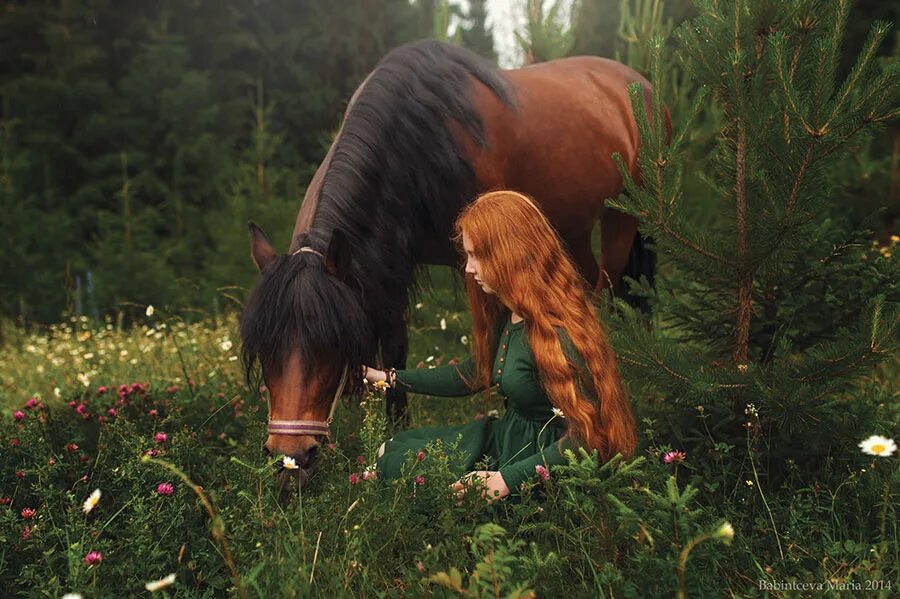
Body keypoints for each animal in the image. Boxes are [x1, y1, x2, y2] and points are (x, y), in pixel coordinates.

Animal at [241, 38, 668, 492]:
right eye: (264, 348)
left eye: (332, 344)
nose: (290, 460)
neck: (423, 138)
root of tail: (638, 83)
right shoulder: (388, 267)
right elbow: (397, 352)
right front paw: (396, 430)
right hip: (573, 226)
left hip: (626, 219)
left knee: (612, 292)